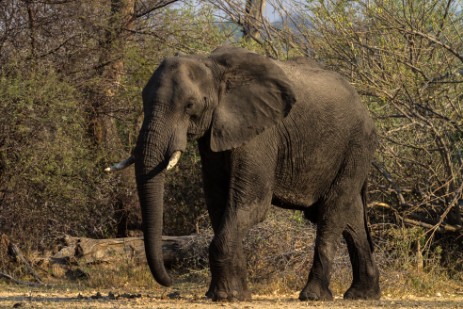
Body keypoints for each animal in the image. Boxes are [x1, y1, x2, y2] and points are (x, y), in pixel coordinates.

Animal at [108, 45, 380, 300]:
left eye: (190, 105)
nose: (170, 281)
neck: (212, 65)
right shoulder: (215, 132)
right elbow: (218, 204)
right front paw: (232, 294)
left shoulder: (260, 133)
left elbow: (250, 205)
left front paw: (226, 296)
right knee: (350, 215)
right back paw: (363, 294)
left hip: (356, 145)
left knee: (331, 212)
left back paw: (314, 295)